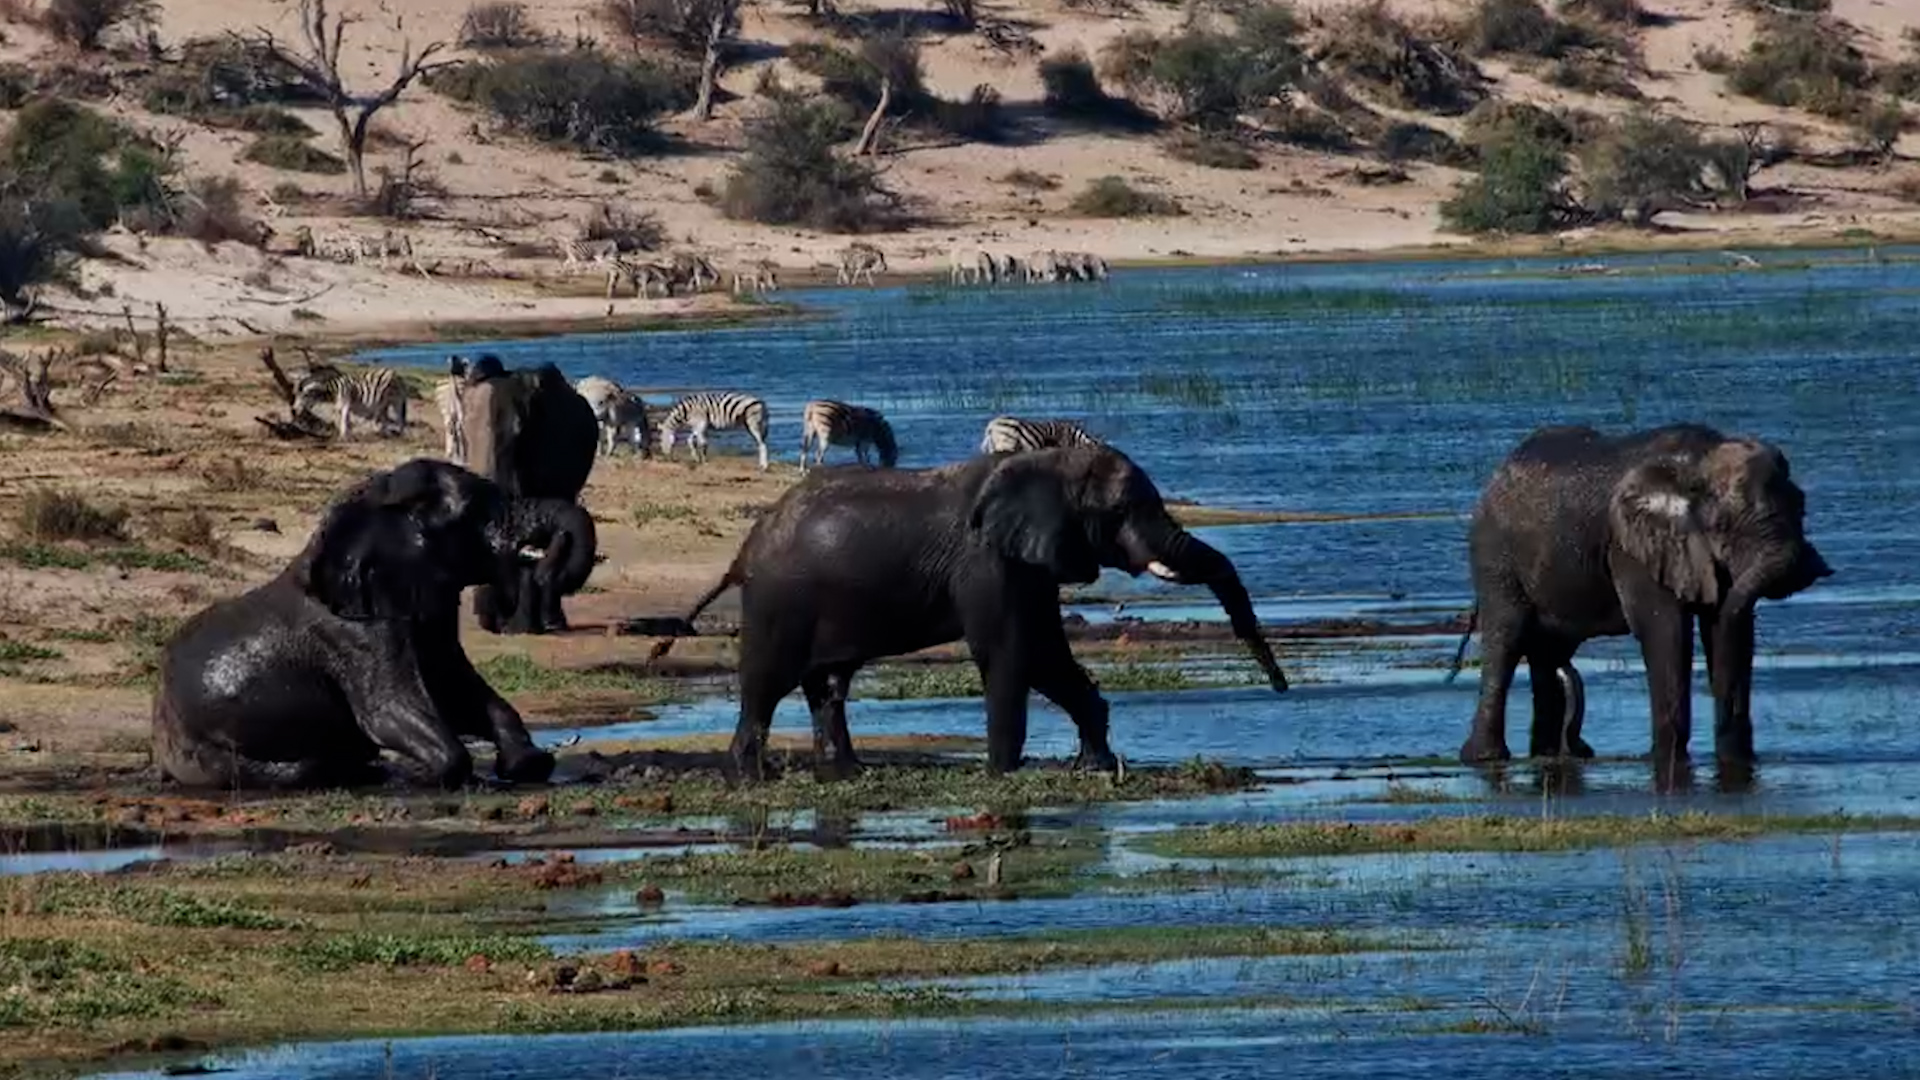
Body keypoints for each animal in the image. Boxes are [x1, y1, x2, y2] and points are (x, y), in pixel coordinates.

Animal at [151, 460, 575, 790]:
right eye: (473, 512)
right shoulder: (356, 634)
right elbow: (387, 711)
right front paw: (427, 777)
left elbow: (458, 693)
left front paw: (528, 764)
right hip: (214, 752)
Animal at [653, 445, 1290, 780]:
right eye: (1120, 512)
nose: (1281, 689)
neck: (1050, 463)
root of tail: (743, 550)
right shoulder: (985, 561)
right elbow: (1011, 653)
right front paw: (1004, 773)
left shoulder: (1030, 562)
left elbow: (1047, 655)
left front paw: (1097, 763)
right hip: (779, 601)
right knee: (766, 685)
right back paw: (749, 773)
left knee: (826, 685)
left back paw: (847, 771)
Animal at [1456, 424, 1830, 774]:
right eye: (1722, 525)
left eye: (1802, 505)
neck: (1701, 460)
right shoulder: (1632, 547)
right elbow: (1666, 631)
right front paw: (1664, 759)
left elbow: (1727, 628)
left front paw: (1735, 762)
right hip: (1494, 560)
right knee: (1506, 640)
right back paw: (1485, 758)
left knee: (1549, 653)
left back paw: (1553, 753)